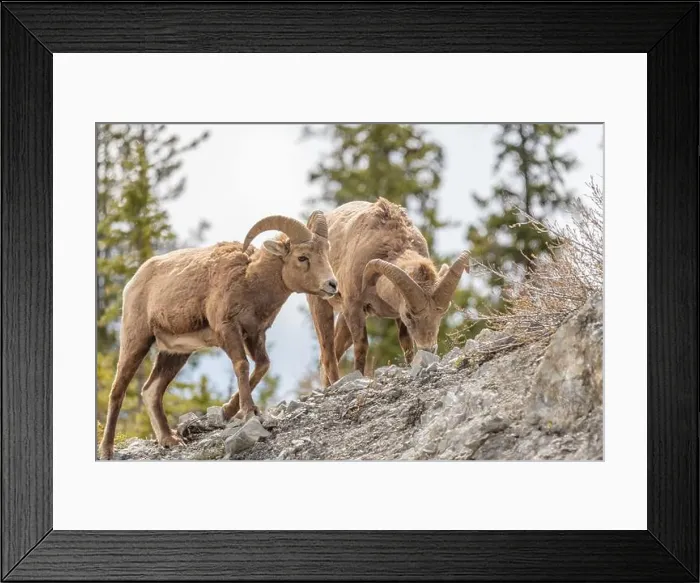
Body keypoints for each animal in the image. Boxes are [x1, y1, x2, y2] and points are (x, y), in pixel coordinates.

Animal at [98, 212, 337, 460]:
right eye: (302, 257)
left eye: (325, 252)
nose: (332, 285)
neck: (250, 281)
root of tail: (133, 282)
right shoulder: (228, 330)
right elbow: (242, 365)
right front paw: (247, 411)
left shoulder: (255, 334)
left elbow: (262, 366)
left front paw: (228, 411)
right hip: (136, 341)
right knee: (118, 391)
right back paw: (106, 450)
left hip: (175, 353)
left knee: (151, 391)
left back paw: (170, 440)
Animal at [307, 198, 469, 386]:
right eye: (409, 315)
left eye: (442, 313)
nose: (429, 348)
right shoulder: (353, 307)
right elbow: (361, 346)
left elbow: (407, 345)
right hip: (321, 305)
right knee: (328, 352)